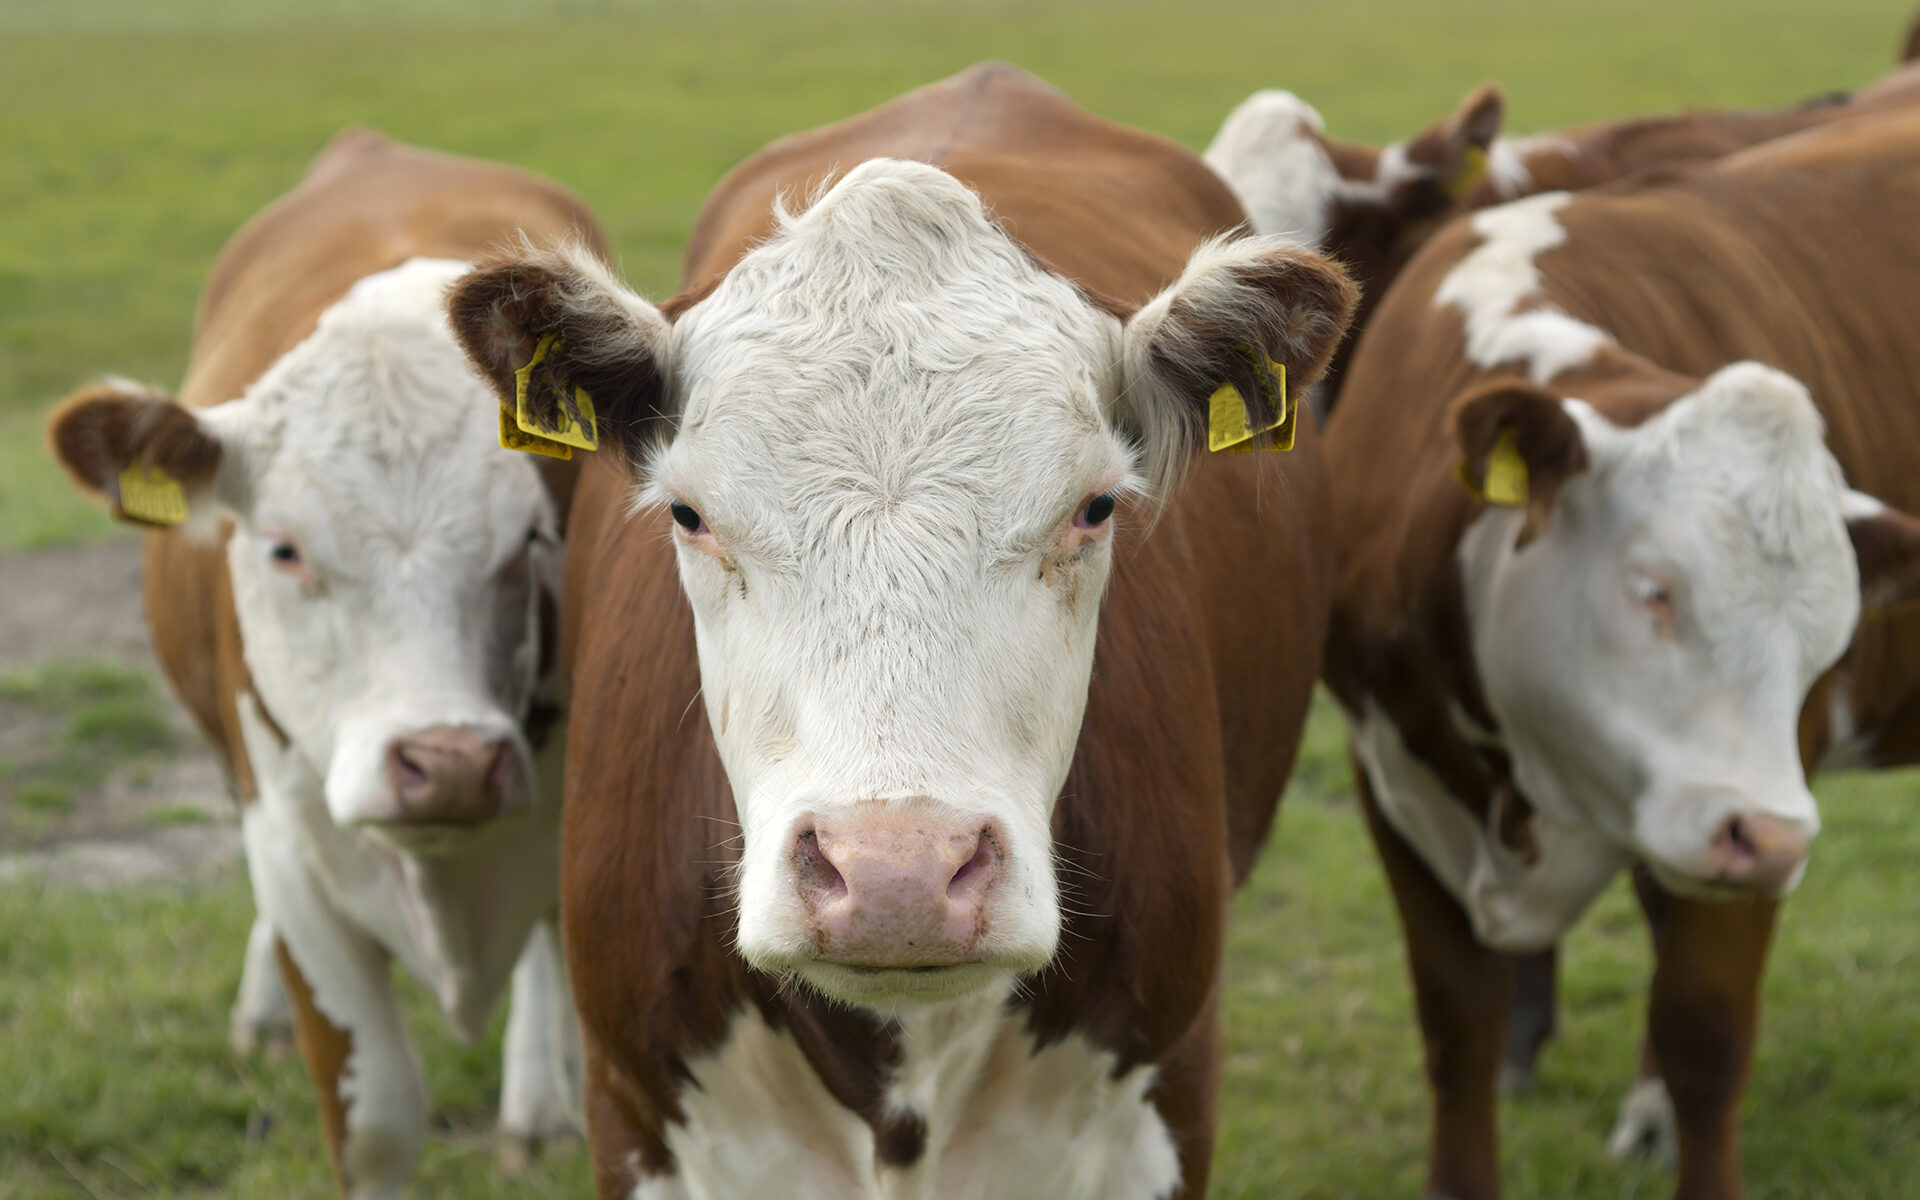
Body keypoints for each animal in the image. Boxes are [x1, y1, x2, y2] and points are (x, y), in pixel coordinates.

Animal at [1320, 105, 1920, 1198]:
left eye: (1828, 637)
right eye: (1653, 592)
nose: (1775, 844)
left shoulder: (1763, 792)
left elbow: (1705, 1037)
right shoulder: (1387, 775)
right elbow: (1458, 1030)